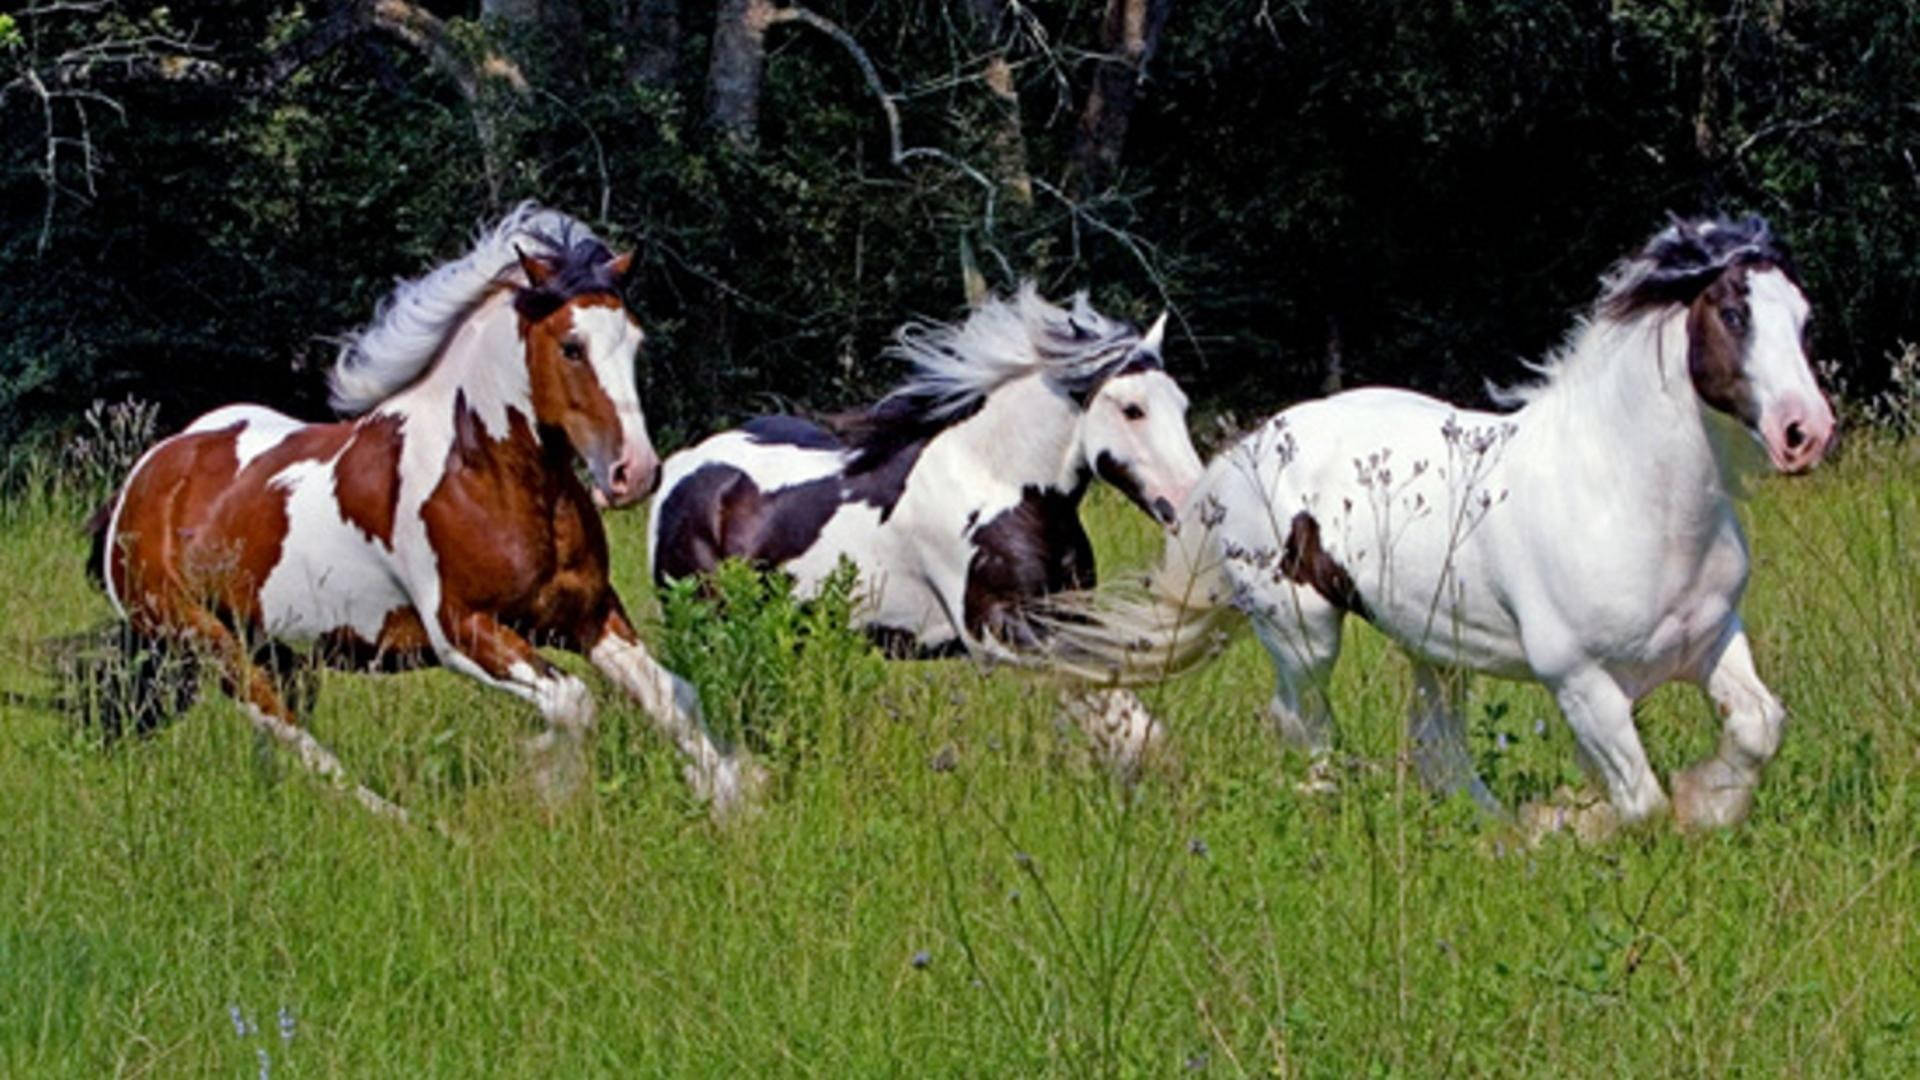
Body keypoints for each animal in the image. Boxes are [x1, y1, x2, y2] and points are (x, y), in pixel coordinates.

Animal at [95, 203, 756, 814]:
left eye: (635, 342)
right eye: (572, 346)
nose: (635, 473)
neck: (484, 476)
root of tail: (141, 483)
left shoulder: (587, 614)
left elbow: (670, 697)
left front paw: (734, 798)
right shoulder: (461, 631)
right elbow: (574, 703)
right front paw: (550, 793)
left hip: (280, 649)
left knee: (278, 739)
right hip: (208, 642)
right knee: (285, 729)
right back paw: (398, 820)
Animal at [652, 282, 1205, 757]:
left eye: (1182, 404)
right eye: (1132, 409)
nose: (1191, 502)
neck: (1001, 484)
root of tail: (681, 466)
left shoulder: (1068, 614)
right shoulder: (999, 631)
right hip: (706, 623)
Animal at [1036, 214, 1827, 826]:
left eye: (1802, 319)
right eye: (1734, 315)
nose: (1806, 432)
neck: (1625, 500)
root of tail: (1242, 454)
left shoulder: (1712, 638)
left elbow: (1758, 728)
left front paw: (1710, 804)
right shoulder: (1581, 682)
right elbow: (1641, 805)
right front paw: (1579, 825)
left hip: (1434, 644)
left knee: (1434, 742)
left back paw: (1494, 832)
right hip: (1302, 630)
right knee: (1303, 720)